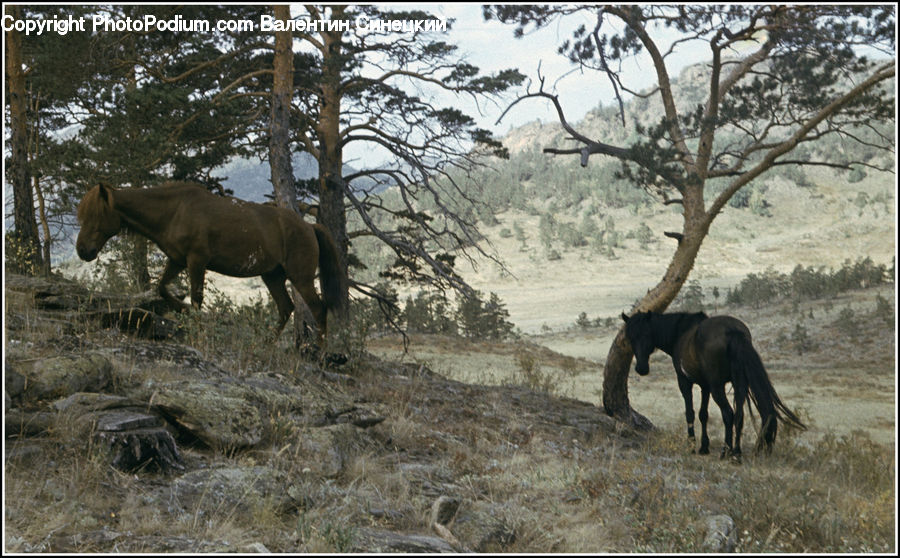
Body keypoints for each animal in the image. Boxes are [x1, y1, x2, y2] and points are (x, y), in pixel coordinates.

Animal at [75, 184, 342, 346]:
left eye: (95, 215)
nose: (82, 250)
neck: (175, 210)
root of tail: (309, 226)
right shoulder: (177, 260)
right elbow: (162, 288)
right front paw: (183, 311)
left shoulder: (196, 261)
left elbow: (196, 298)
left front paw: (196, 330)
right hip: (273, 276)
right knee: (286, 308)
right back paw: (266, 343)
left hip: (300, 277)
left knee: (318, 309)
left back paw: (319, 353)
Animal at [624, 310, 804, 464]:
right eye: (630, 338)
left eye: (646, 335)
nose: (641, 369)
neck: (680, 332)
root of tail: (732, 331)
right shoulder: (705, 386)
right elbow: (704, 414)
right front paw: (704, 447)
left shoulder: (685, 381)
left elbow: (690, 413)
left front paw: (691, 445)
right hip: (739, 384)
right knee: (739, 415)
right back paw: (736, 453)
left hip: (718, 387)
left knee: (728, 413)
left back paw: (726, 451)